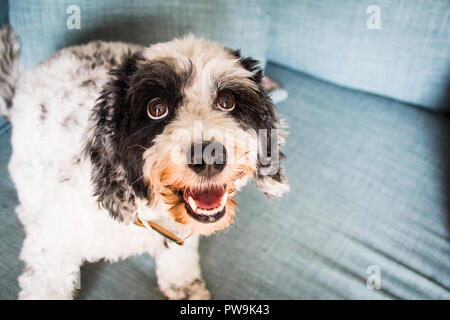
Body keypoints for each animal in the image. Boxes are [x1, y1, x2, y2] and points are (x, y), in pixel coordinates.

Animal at [0, 25, 288, 300]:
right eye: (156, 108)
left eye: (227, 101)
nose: (209, 157)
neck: (145, 207)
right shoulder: (51, 249)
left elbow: (179, 260)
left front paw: (184, 287)